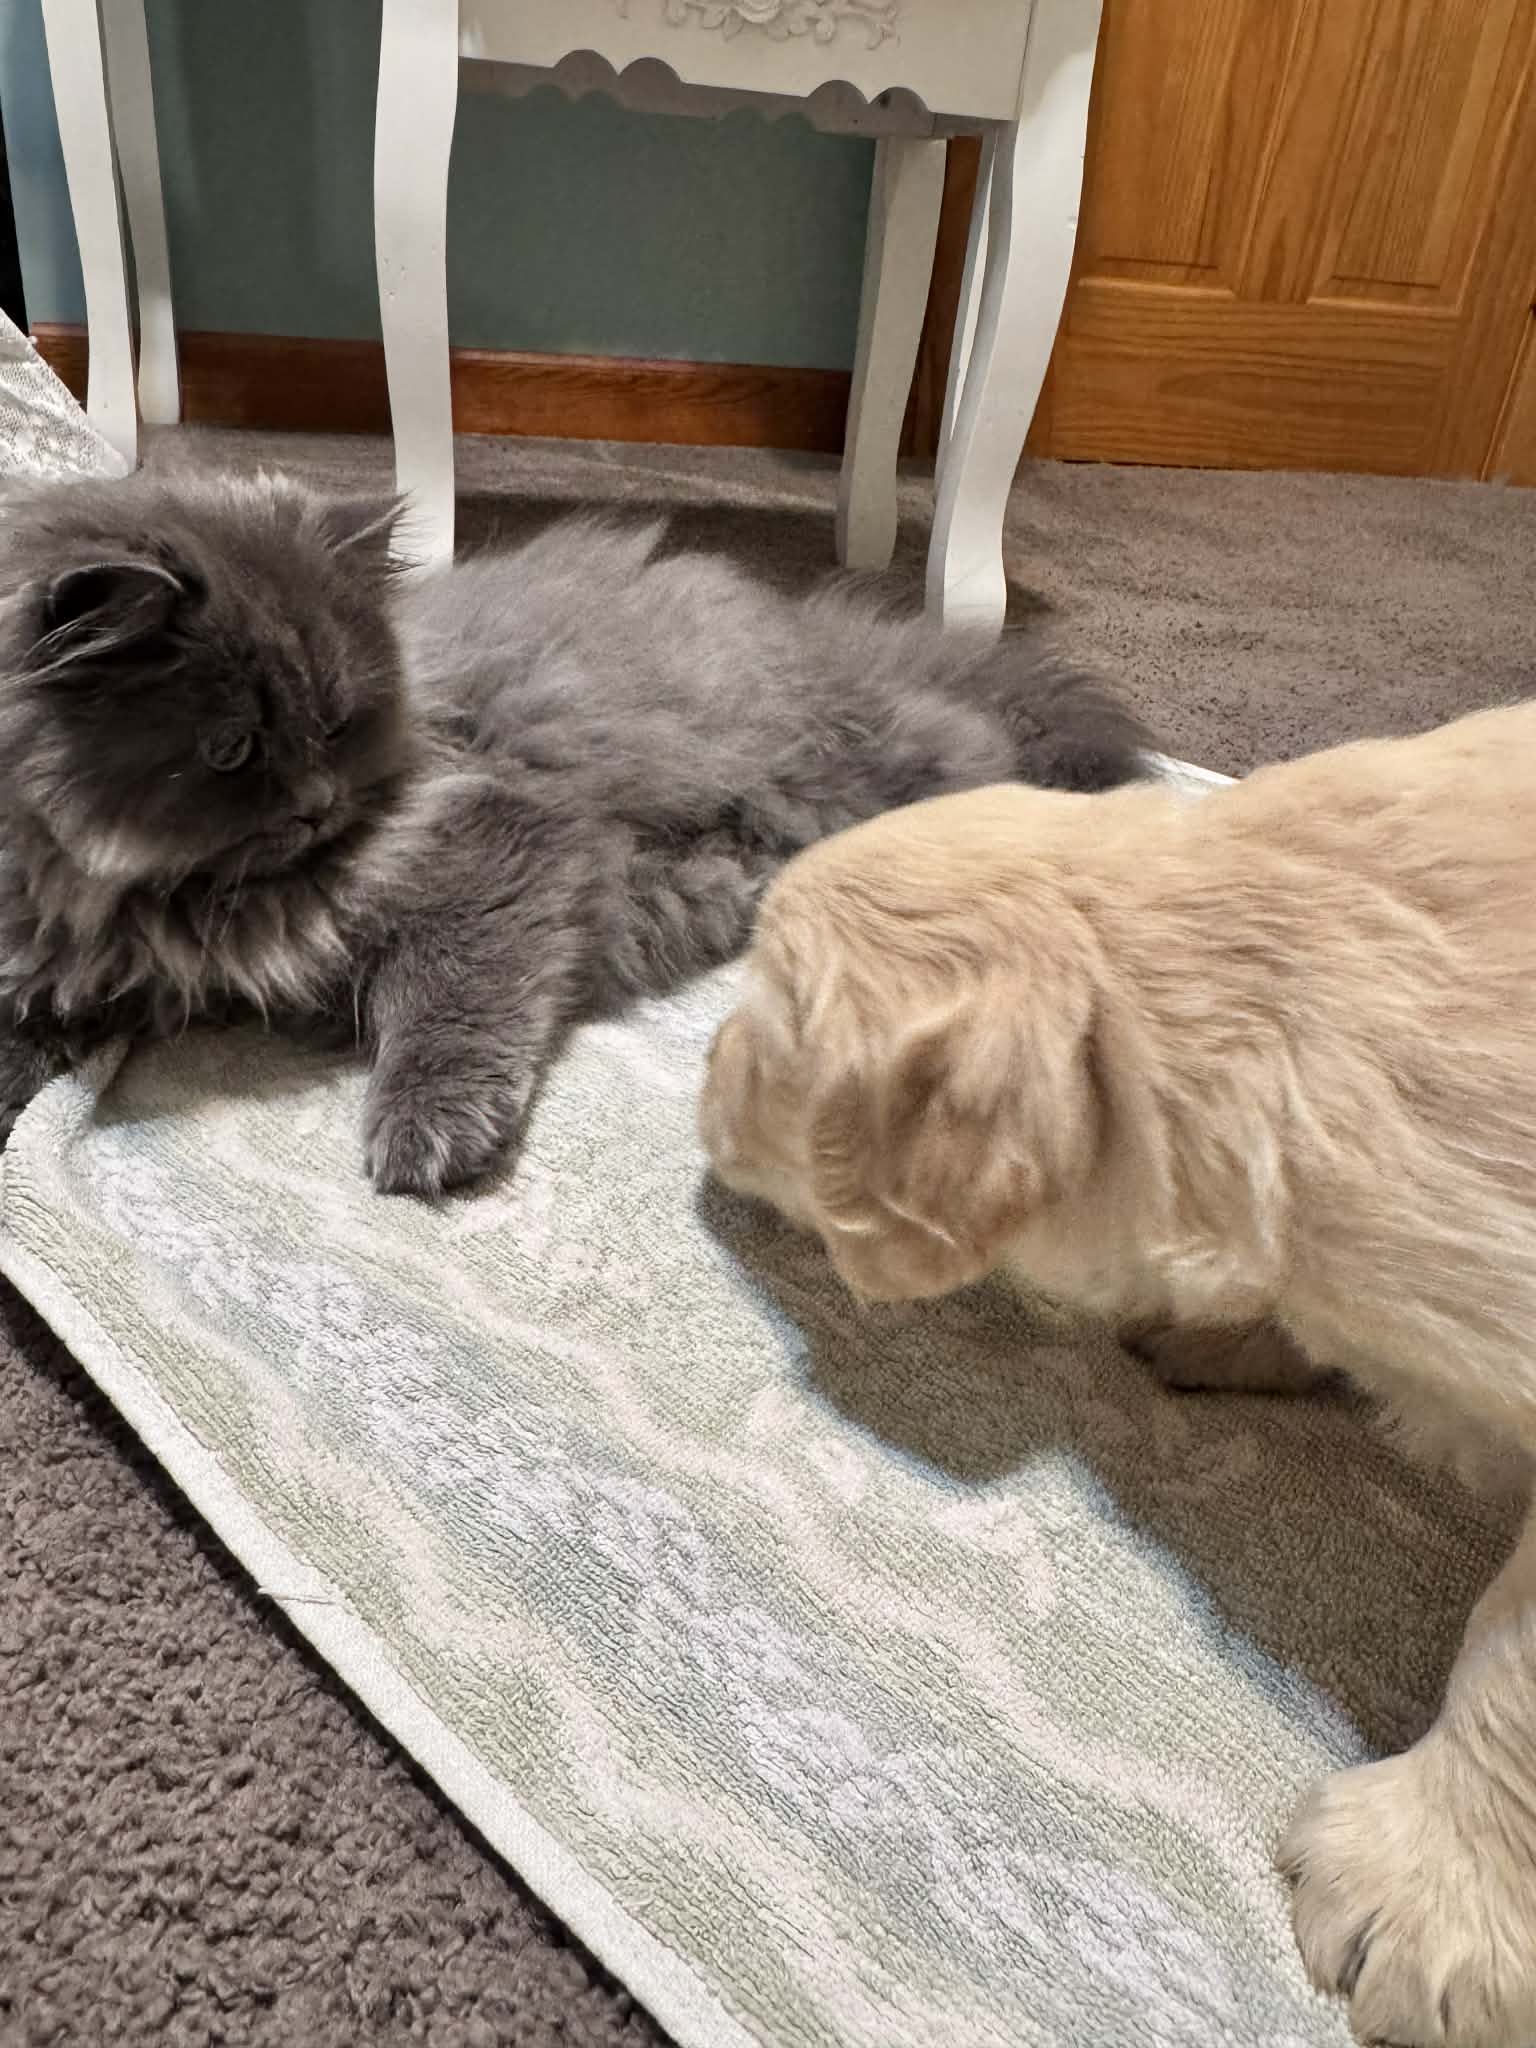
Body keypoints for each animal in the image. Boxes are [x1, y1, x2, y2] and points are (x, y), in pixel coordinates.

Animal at [0, 469, 1157, 1196]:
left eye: (337, 721)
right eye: (233, 747)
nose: (319, 801)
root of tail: (802, 624)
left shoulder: (493, 839)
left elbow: (449, 1004)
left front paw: (430, 1129)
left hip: (835, 759)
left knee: (964, 739)